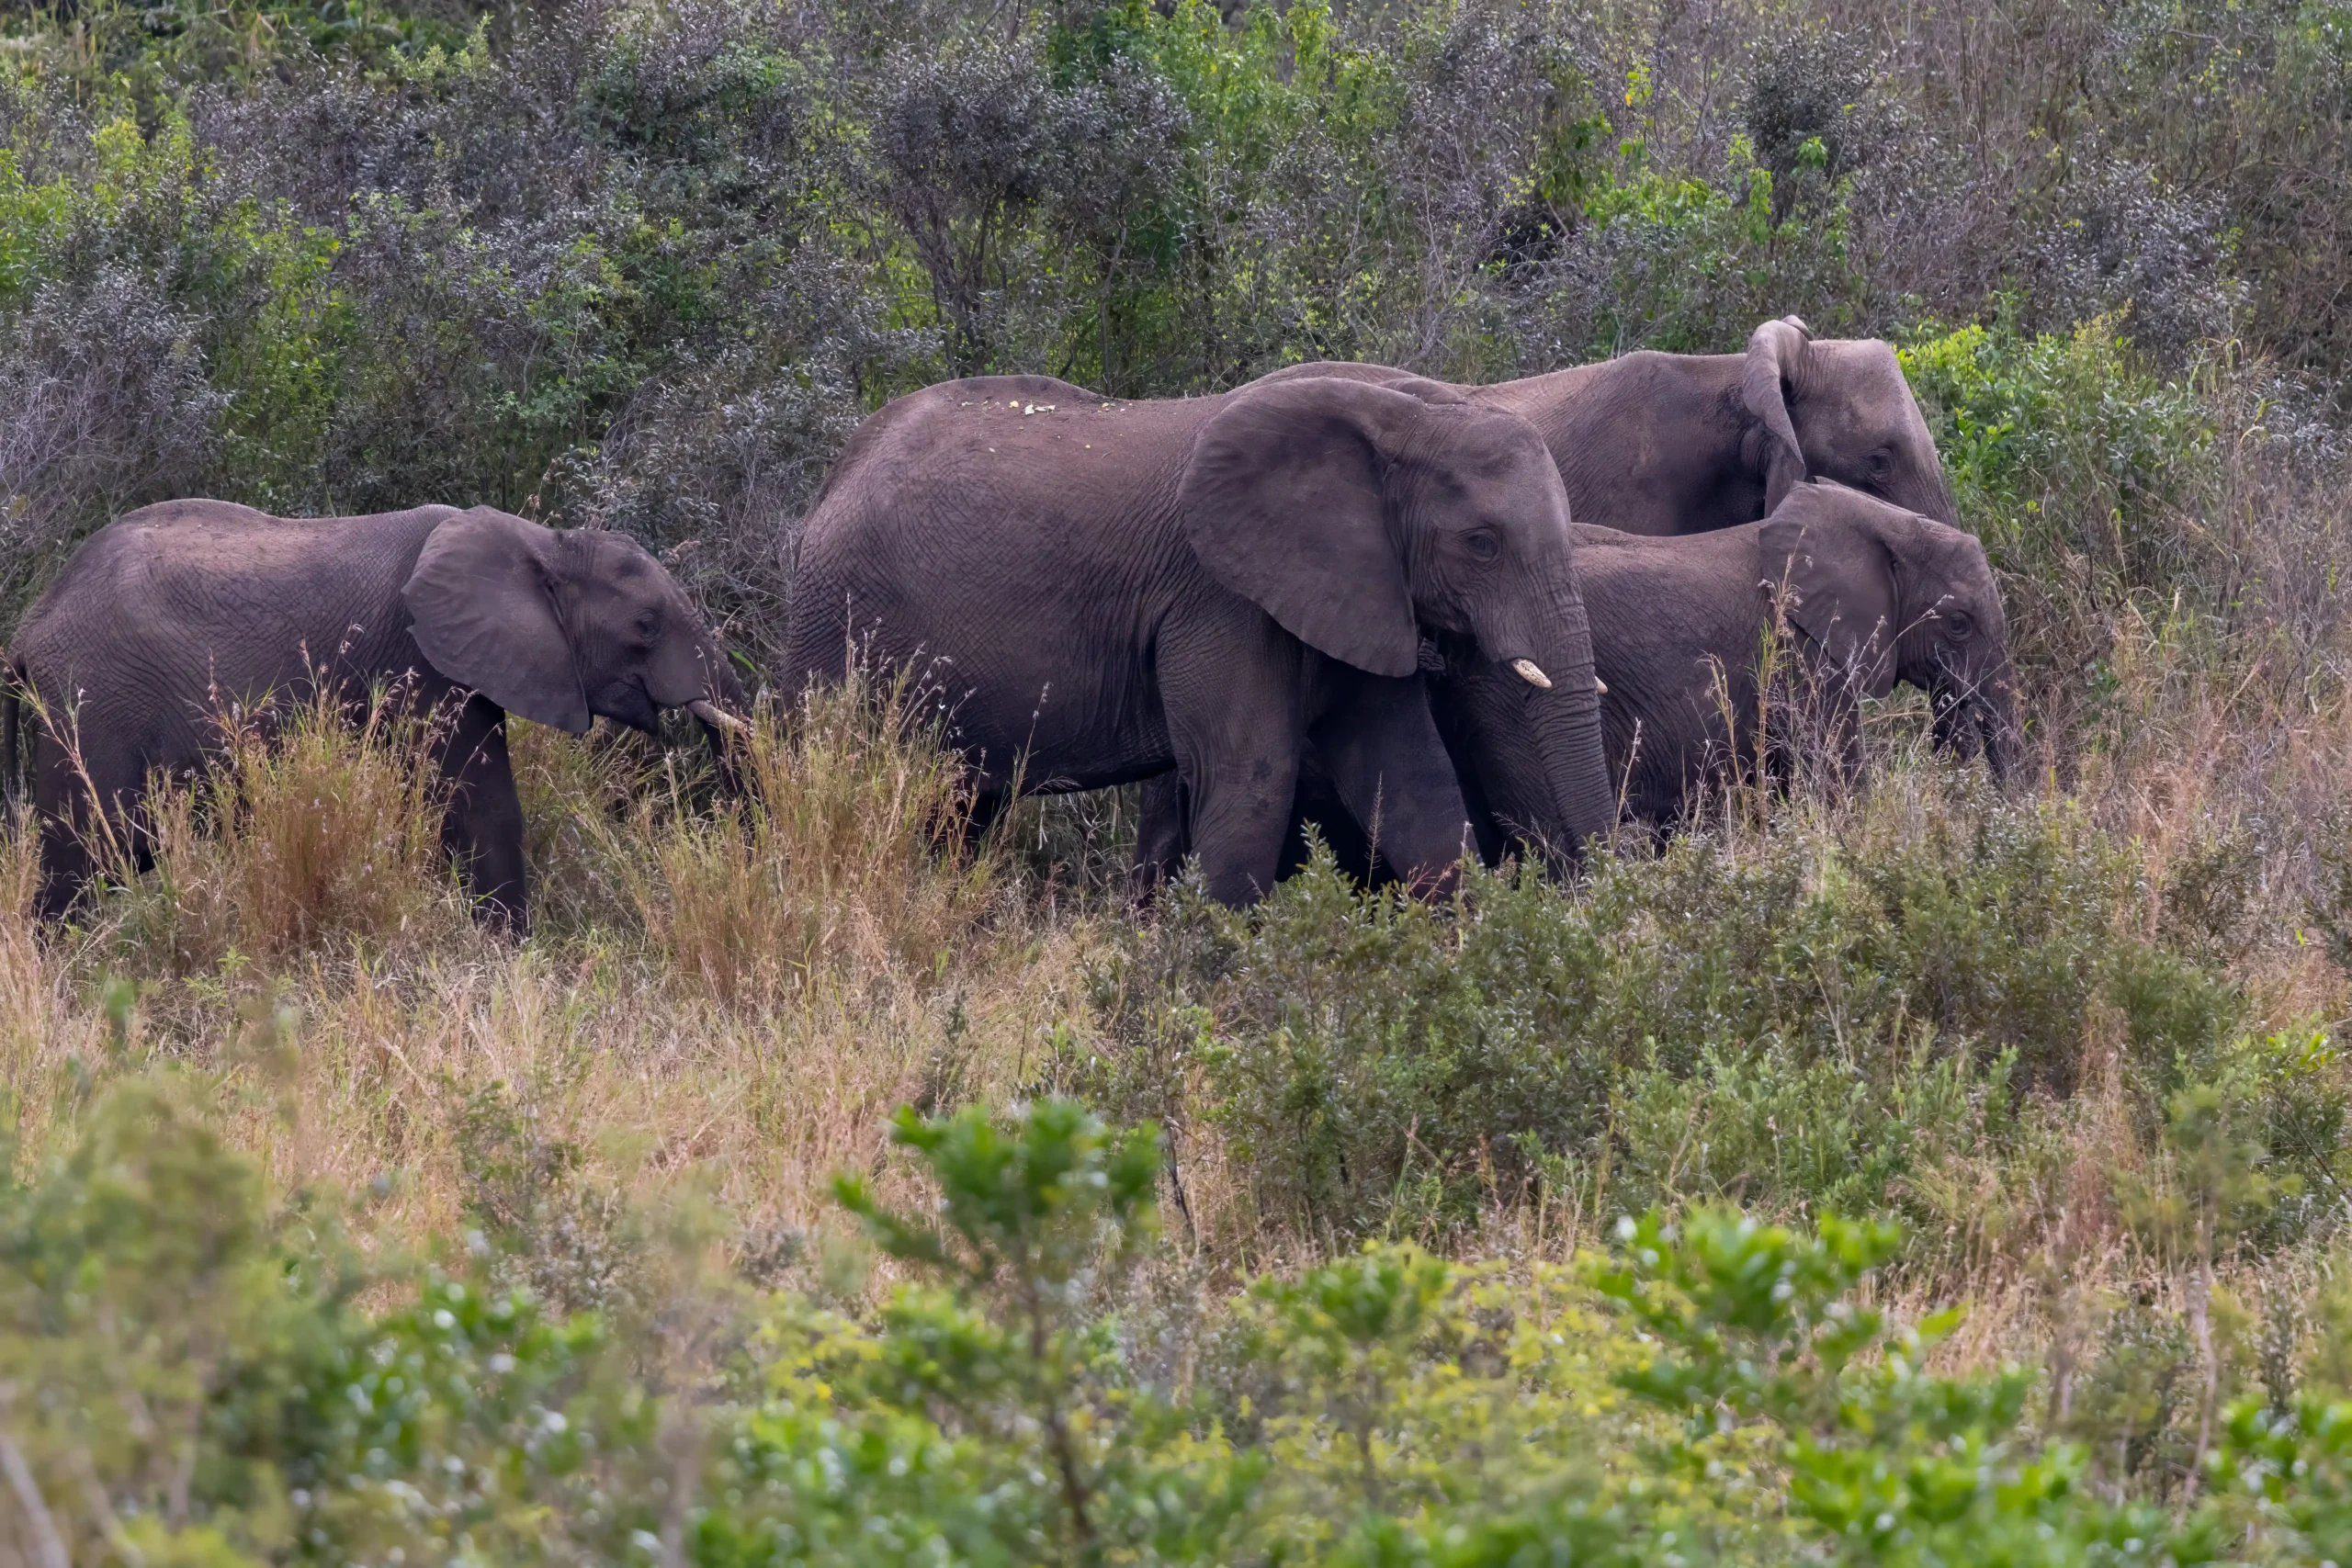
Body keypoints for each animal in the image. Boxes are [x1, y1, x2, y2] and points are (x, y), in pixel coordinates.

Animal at [4, 499, 747, 932]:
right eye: (645, 625)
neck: (544, 541)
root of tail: (30, 629)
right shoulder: (425, 662)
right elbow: (480, 811)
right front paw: (512, 958)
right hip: (91, 709)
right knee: (88, 855)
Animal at [779, 371, 1617, 906]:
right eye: (1482, 543)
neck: (1404, 411)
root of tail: (828, 484)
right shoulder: (1219, 599)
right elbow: (1250, 782)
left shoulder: (1361, 590)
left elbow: (1413, 781)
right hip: (840, 633)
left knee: (957, 812)